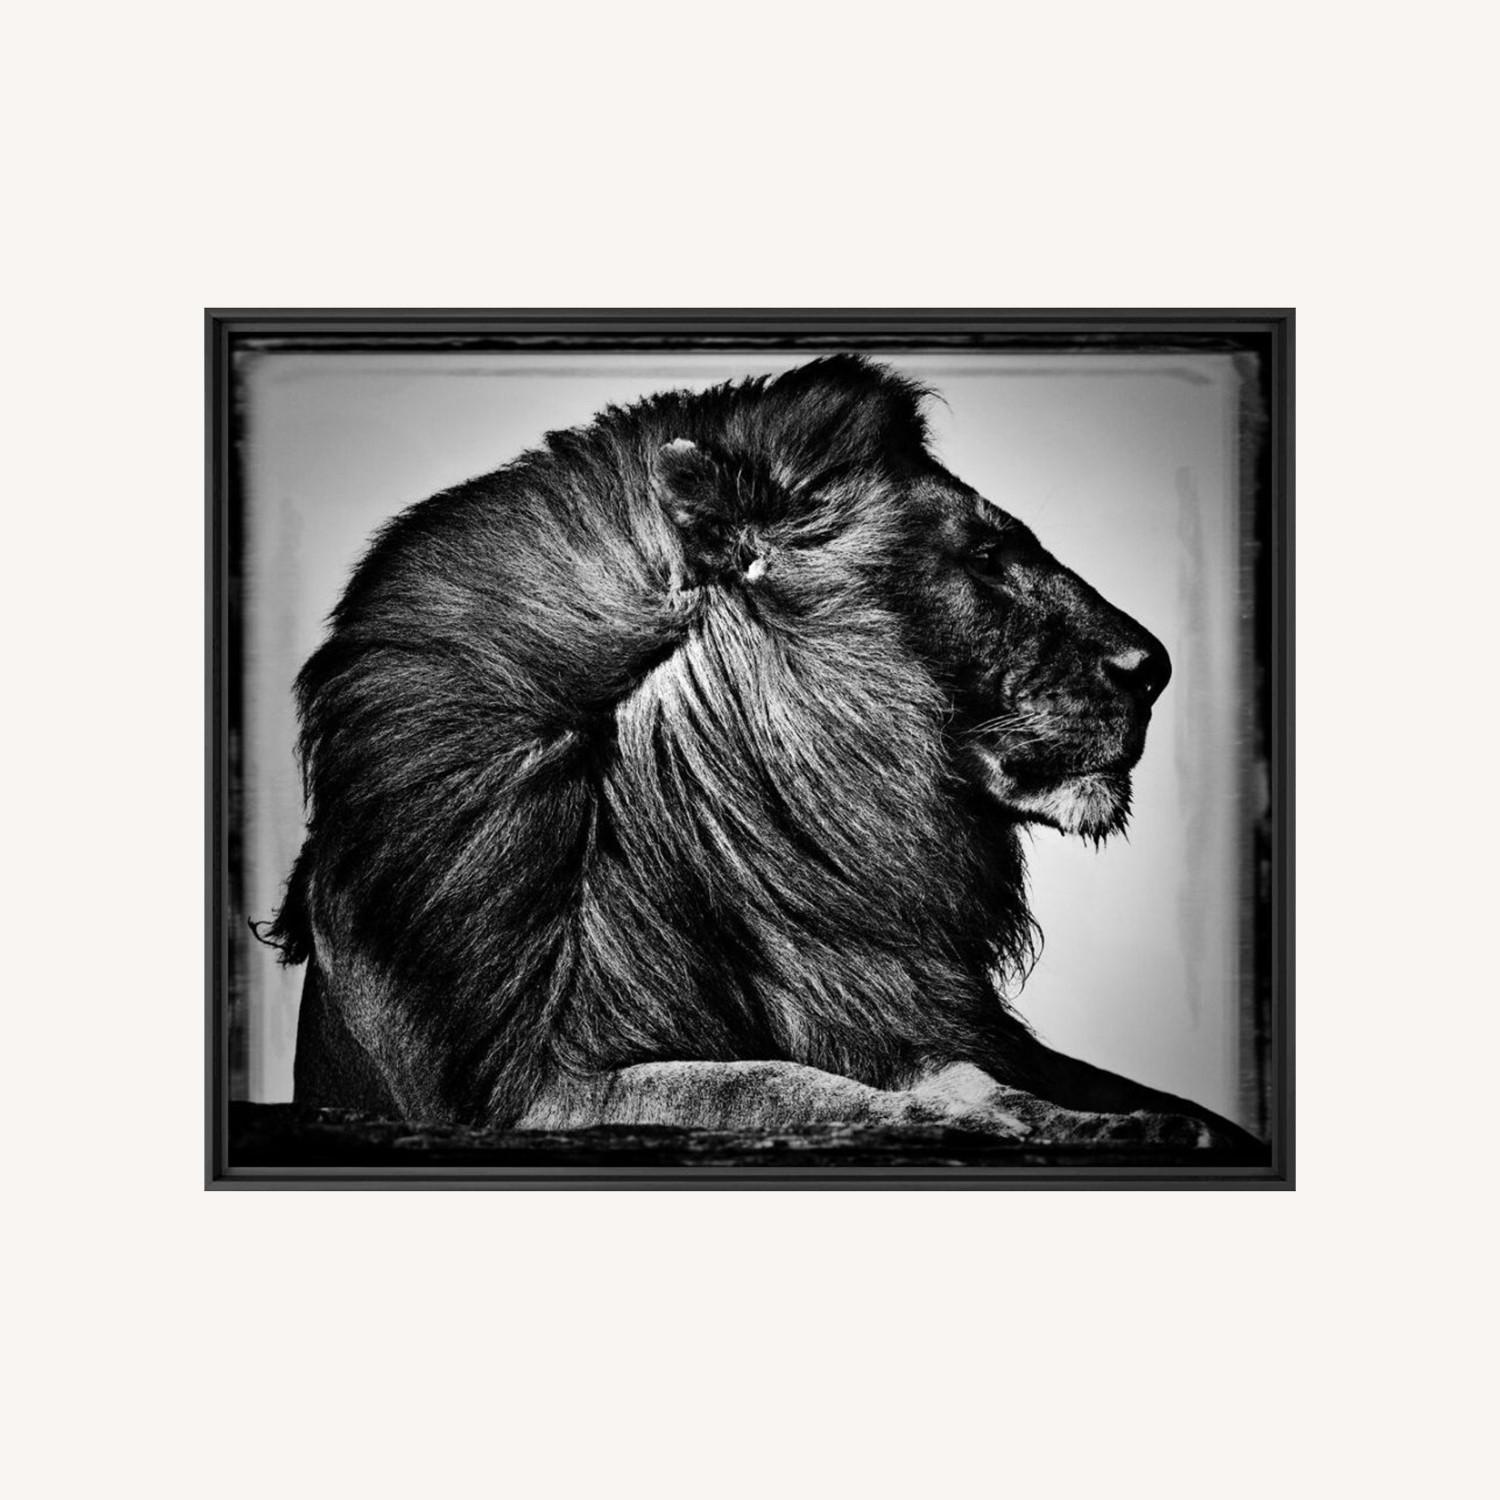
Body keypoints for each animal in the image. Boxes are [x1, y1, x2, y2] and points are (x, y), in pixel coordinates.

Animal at [261, 354, 1257, 1152]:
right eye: (982, 554)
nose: (1155, 666)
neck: (765, 853)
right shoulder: (533, 1098)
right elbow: (793, 1088)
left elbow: (972, 1075)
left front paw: (1127, 1119)